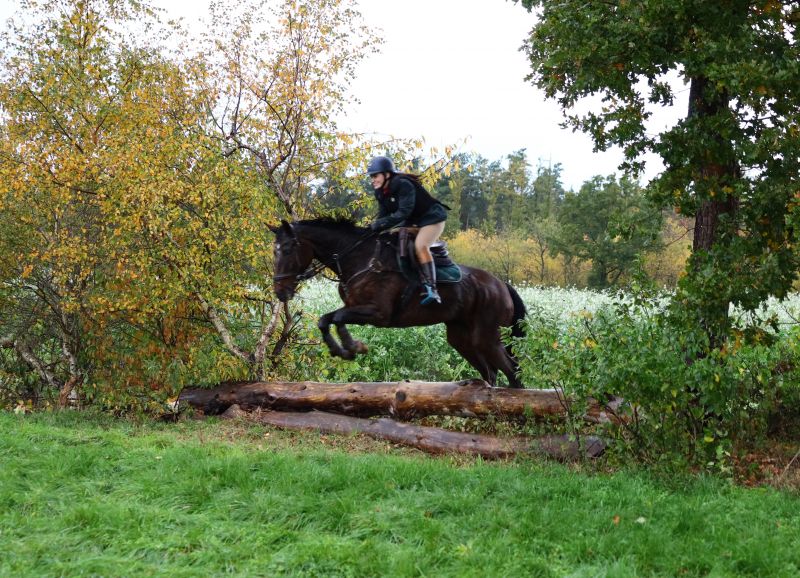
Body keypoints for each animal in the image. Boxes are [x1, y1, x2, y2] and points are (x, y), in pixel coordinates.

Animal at [269, 218, 527, 387]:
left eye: (289, 249)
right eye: (275, 252)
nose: (280, 292)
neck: (360, 259)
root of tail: (502, 285)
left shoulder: (378, 314)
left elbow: (339, 318)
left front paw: (353, 347)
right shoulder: (355, 307)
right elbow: (325, 320)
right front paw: (341, 350)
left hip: (488, 337)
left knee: (513, 373)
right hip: (461, 337)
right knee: (490, 372)